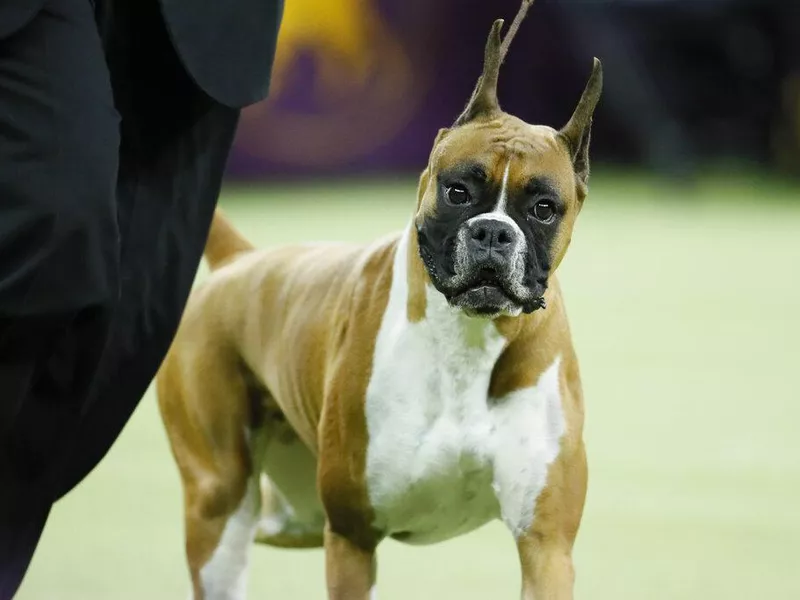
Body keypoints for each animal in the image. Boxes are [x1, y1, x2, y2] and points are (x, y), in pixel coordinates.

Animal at [156, 2, 600, 596]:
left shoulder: (546, 546)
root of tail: (238, 262)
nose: (493, 231)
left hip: (291, 514)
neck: (466, 340)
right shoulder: (352, 539)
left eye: (544, 209)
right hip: (222, 506)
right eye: (458, 191)